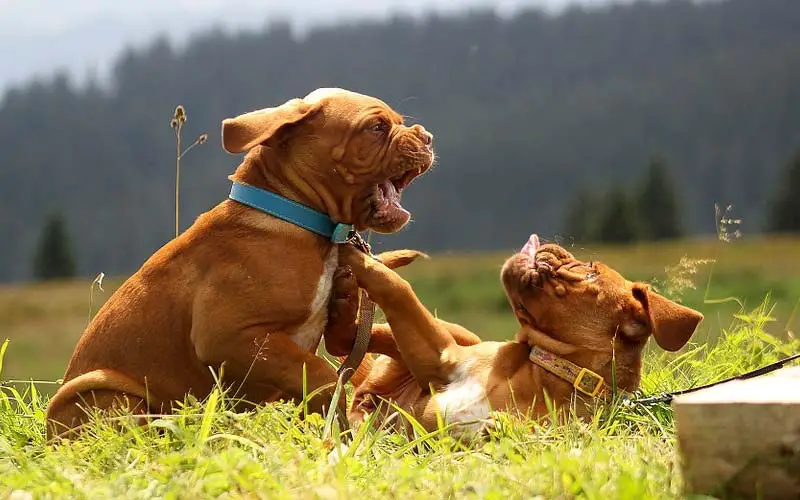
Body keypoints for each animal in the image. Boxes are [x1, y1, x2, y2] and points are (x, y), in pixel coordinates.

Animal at [44, 88, 434, 440]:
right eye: (376, 127)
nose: (427, 138)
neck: (296, 219)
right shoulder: (228, 337)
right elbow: (321, 375)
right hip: (107, 393)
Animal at [334, 234, 704, 438]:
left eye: (590, 272)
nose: (552, 247)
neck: (552, 374)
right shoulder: (441, 357)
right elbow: (397, 288)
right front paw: (352, 252)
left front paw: (501, 428)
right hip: (455, 333)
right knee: (357, 336)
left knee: (349, 341)